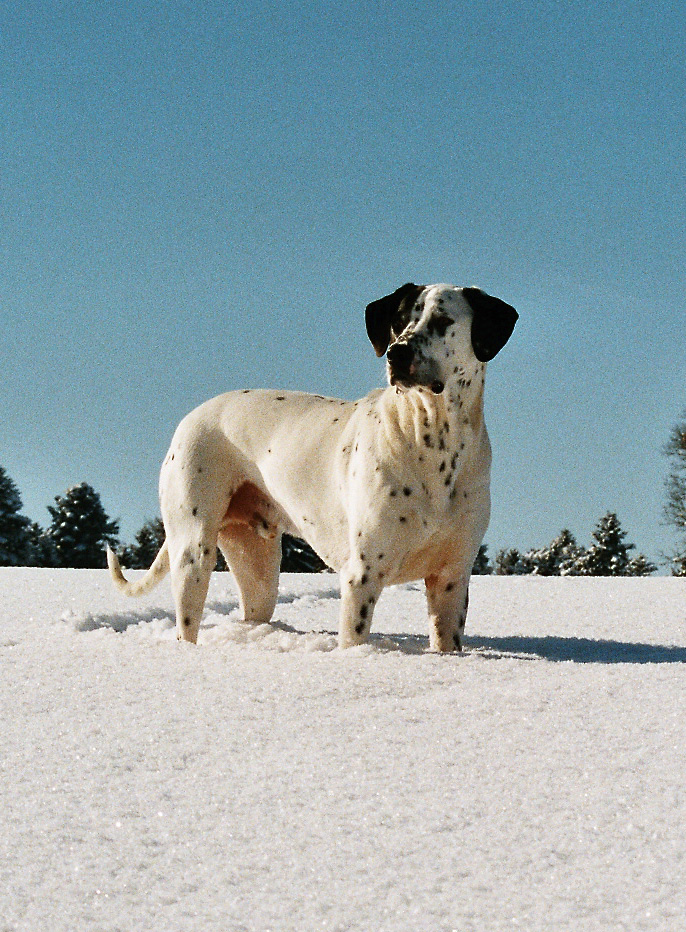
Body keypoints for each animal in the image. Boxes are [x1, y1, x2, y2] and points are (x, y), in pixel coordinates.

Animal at [107, 280, 516, 652]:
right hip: (193, 549)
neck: (432, 440)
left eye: (443, 320)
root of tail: (190, 417)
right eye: (399, 321)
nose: (397, 353)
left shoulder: (452, 579)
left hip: (257, 567)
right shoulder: (362, 576)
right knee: (187, 620)